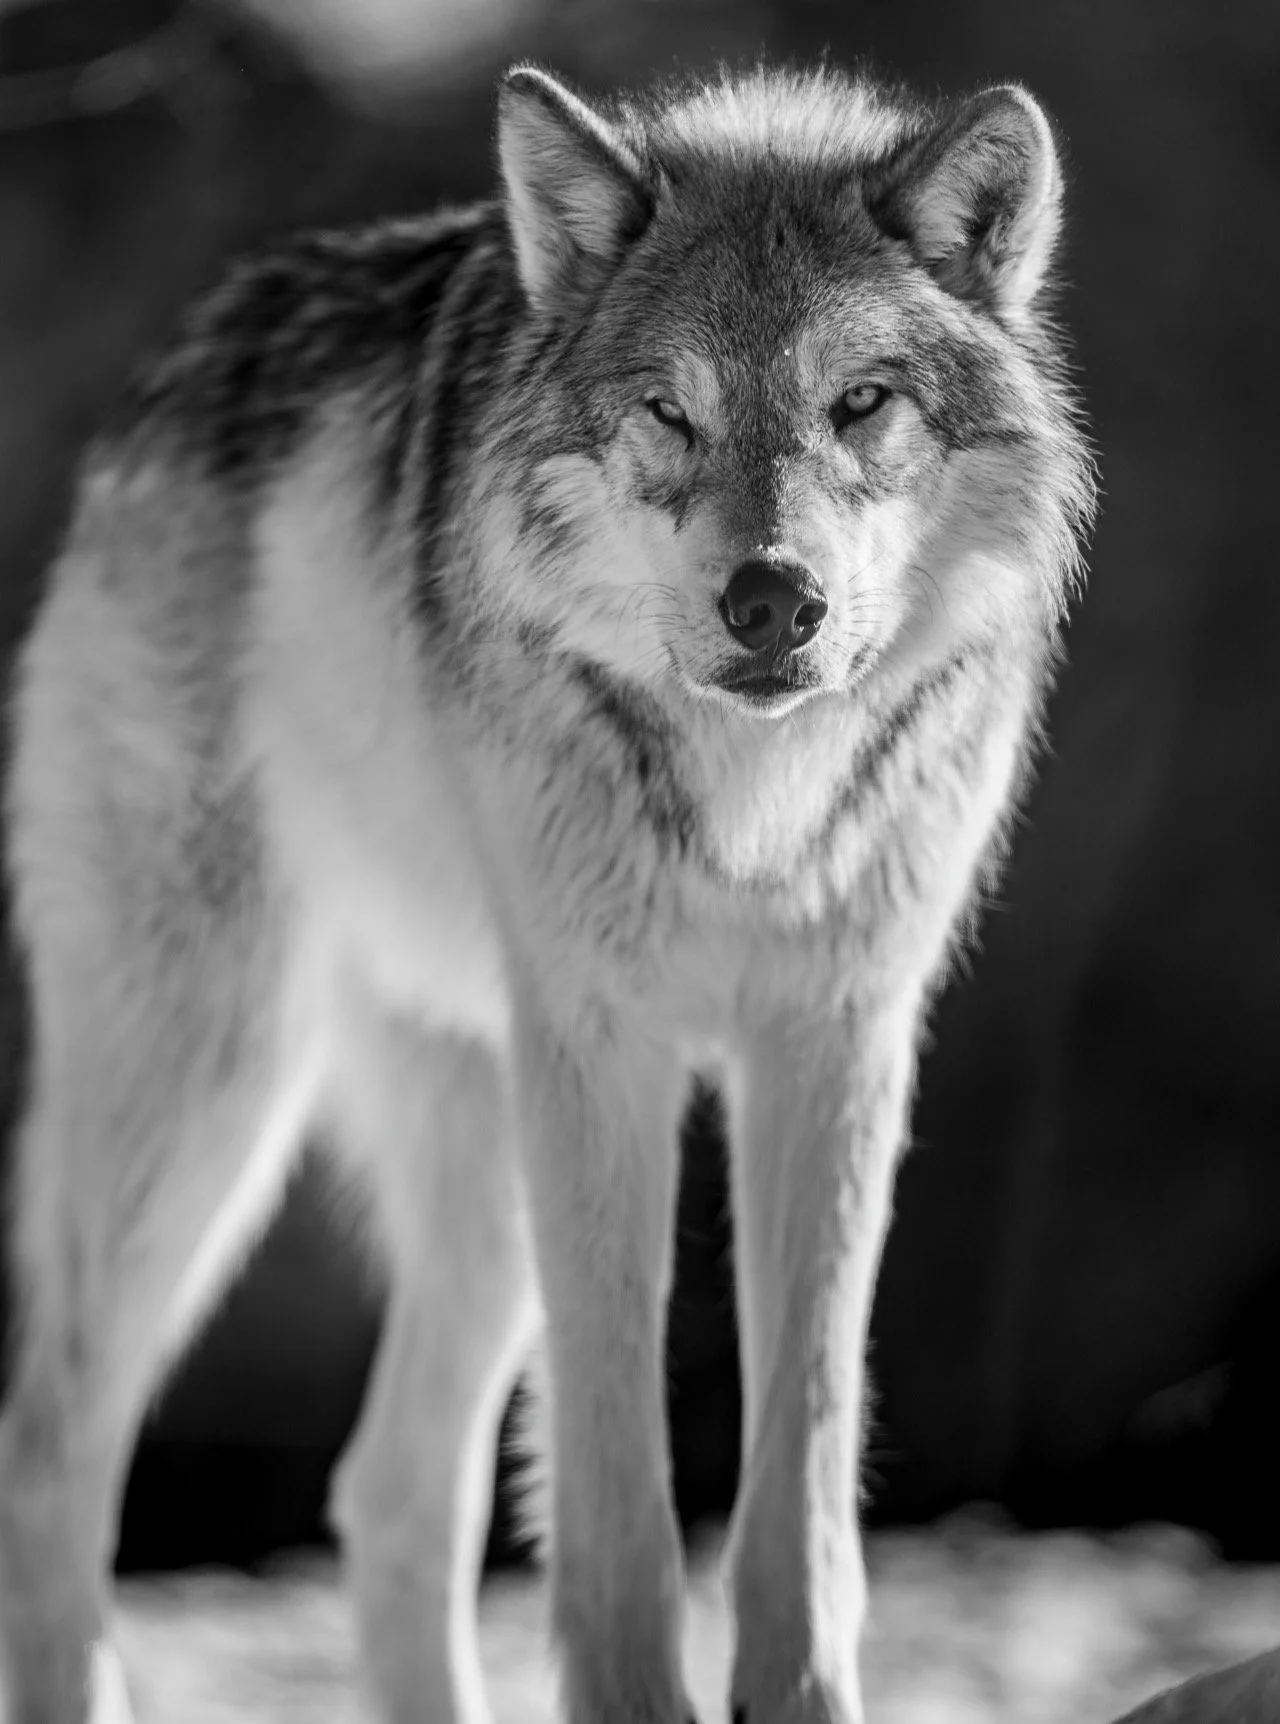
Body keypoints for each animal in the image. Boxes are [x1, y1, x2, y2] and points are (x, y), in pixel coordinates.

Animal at [0, 58, 1092, 1724]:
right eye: (669, 412)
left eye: (860, 402)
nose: (771, 600)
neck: (751, 799)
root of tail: (171, 368)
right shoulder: (606, 1052)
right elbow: (615, 1468)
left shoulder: (835, 1039)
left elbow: (804, 1455)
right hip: (209, 1095)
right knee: (51, 1447)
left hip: (465, 1144)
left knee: (390, 1488)